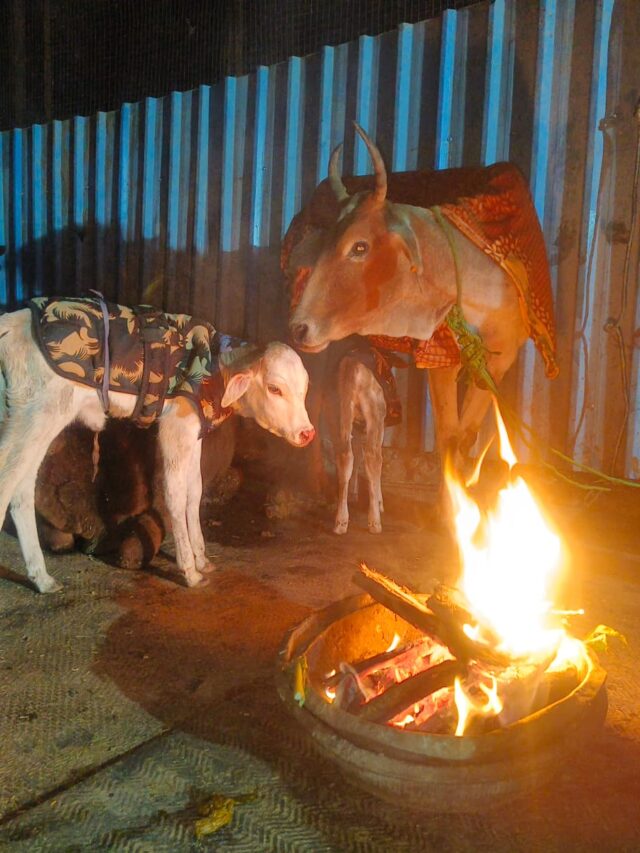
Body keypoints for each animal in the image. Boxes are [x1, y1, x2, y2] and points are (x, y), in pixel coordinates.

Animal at [0, 310, 312, 588]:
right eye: (274, 388)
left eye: (304, 389)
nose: (307, 432)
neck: (215, 368)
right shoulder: (175, 425)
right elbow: (175, 494)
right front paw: (190, 570)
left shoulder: (193, 433)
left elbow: (194, 492)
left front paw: (202, 559)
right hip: (36, 414)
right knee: (8, 482)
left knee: (22, 490)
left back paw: (42, 578)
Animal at [284, 124, 556, 470]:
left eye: (360, 246)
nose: (300, 328)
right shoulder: (442, 358)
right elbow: (449, 439)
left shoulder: (502, 355)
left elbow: (464, 437)